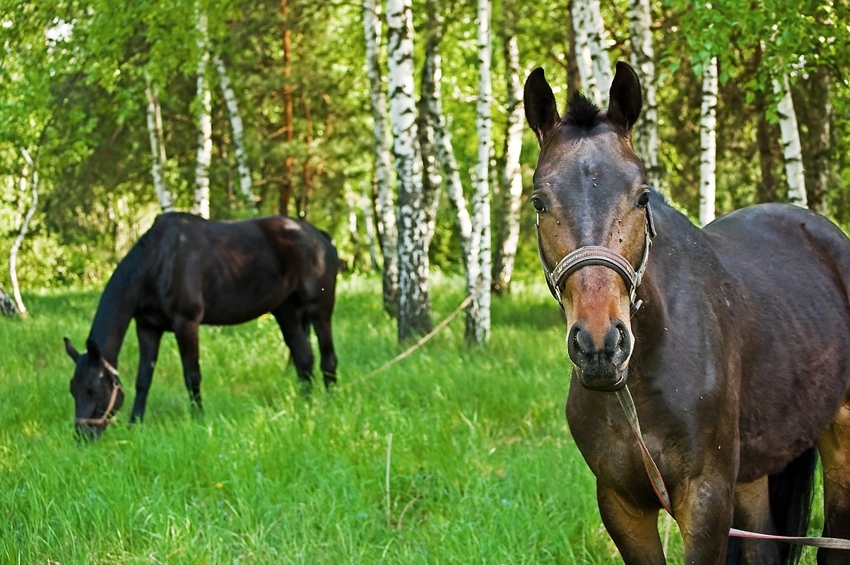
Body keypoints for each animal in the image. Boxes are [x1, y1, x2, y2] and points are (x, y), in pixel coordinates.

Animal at [64, 212, 340, 436]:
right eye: (73, 389)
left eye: (93, 389)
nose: (82, 436)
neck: (157, 262)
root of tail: (319, 236)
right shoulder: (148, 328)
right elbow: (143, 379)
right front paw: (136, 424)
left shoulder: (186, 324)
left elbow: (192, 376)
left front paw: (198, 419)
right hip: (287, 312)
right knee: (304, 360)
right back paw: (305, 407)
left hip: (319, 310)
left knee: (328, 360)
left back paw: (329, 406)